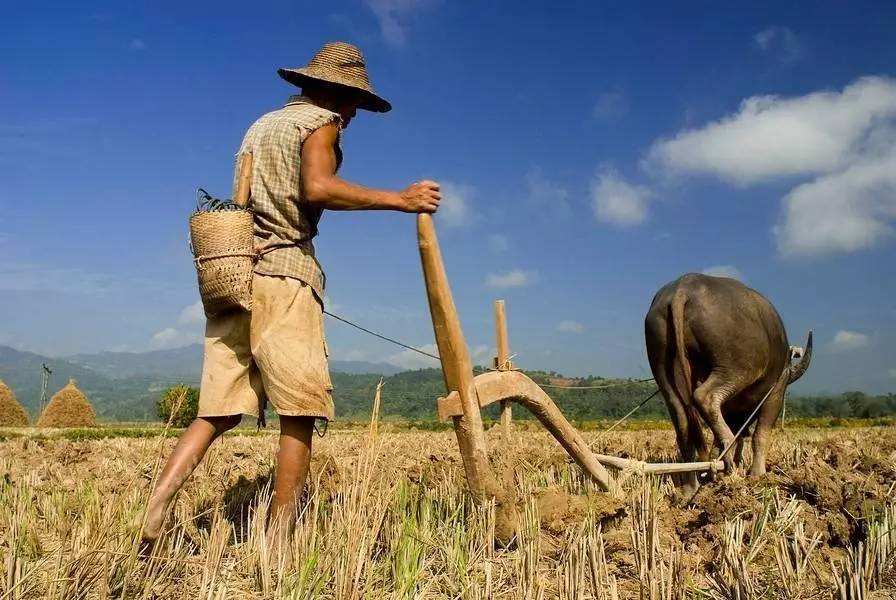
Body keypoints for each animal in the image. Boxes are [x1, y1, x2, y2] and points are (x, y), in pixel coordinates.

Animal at [644, 272, 812, 496]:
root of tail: (684, 287)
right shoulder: (777, 389)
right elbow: (761, 434)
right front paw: (757, 474)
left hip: (662, 364)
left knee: (683, 421)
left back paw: (691, 486)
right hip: (738, 368)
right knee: (705, 397)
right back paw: (728, 451)